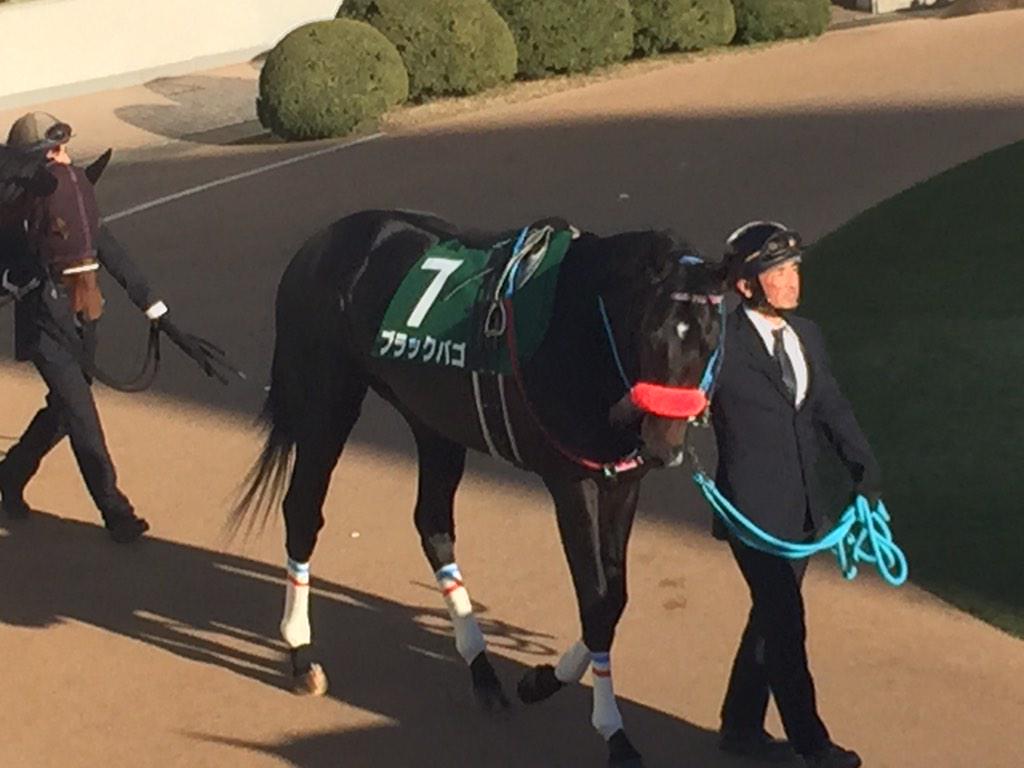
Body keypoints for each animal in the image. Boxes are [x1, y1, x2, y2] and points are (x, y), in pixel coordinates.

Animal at [232, 209, 727, 767]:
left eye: (711, 338)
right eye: (650, 332)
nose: (666, 446)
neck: (583, 328)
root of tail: (320, 242)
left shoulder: (623, 482)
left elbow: (612, 601)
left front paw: (543, 679)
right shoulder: (572, 483)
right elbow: (597, 600)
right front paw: (612, 731)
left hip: (432, 421)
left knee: (433, 526)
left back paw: (482, 670)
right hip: (328, 402)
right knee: (303, 512)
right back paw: (301, 654)